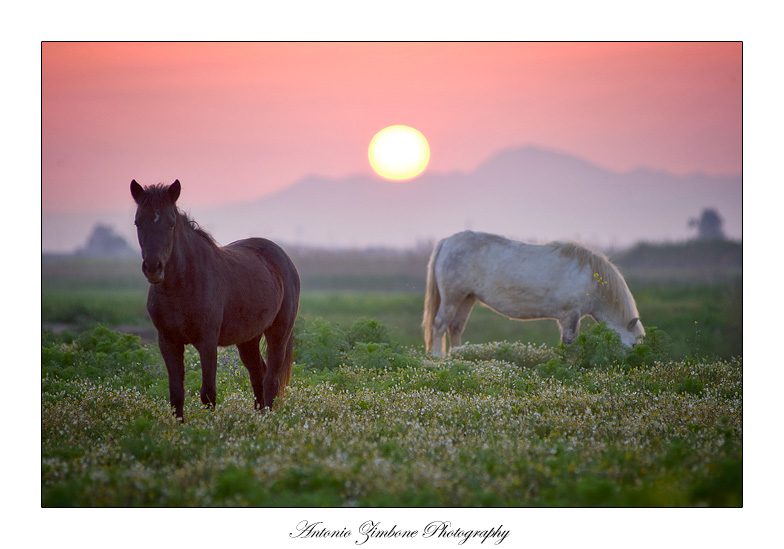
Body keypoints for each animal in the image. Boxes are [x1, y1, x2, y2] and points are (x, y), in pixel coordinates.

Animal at [130, 179, 300, 420]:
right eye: (138, 222)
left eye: (171, 223)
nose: (153, 268)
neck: (180, 287)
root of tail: (283, 257)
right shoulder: (168, 342)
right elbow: (176, 395)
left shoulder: (207, 342)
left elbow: (208, 394)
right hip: (248, 339)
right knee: (258, 375)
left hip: (278, 334)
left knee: (271, 381)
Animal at [422, 231, 644, 357]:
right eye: (633, 344)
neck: (592, 278)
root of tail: (447, 242)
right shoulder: (570, 315)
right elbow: (569, 342)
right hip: (452, 297)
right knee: (440, 325)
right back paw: (438, 359)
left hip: (467, 298)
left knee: (455, 327)